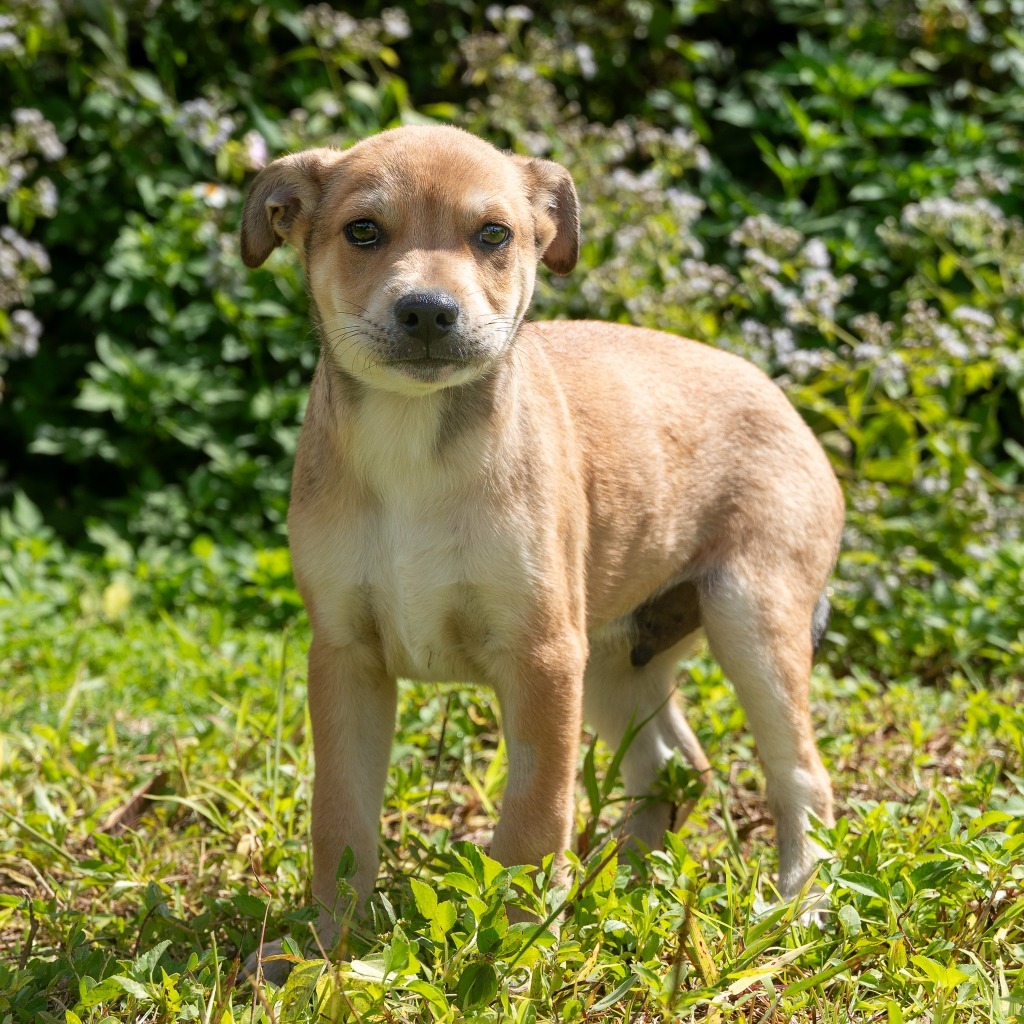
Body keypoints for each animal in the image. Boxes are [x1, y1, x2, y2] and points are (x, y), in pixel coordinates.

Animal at [237, 123, 839, 962]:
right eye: (363, 232)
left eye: (494, 235)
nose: (428, 312)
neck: (415, 445)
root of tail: (783, 399)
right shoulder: (345, 656)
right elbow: (341, 818)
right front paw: (327, 945)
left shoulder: (542, 657)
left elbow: (531, 818)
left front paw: (516, 947)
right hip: (615, 660)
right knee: (673, 769)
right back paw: (625, 886)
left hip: (752, 621)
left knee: (800, 776)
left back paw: (800, 904)